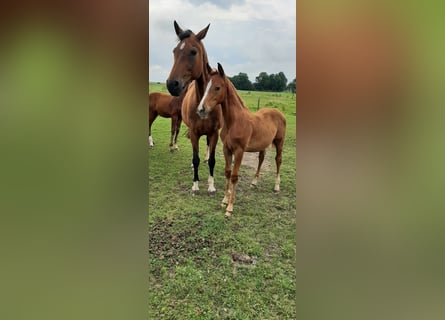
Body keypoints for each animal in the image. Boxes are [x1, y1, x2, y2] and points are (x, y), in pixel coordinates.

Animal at [166, 21, 224, 195]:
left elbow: (212, 160)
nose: (172, 84)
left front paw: (211, 185)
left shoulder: (214, 133)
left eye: (193, 52)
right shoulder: (193, 133)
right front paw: (195, 185)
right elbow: (195, 158)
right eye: (174, 51)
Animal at [197, 62, 286, 218]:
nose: (201, 109)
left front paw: (230, 208)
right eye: (207, 85)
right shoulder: (226, 149)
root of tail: (278, 112)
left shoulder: (239, 151)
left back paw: (276, 186)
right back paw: (254, 182)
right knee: (261, 159)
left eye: (217, 87)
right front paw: (224, 201)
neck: (234, 121)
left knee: (278, 160)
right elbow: (227, 172)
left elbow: (234, 176)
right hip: (263, 145)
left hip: (279, 142)